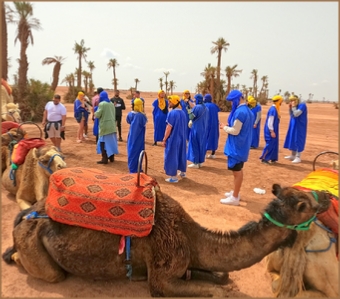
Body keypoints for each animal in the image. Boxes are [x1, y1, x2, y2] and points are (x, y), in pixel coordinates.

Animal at [1, 182, 332, 298]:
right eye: (305, 203)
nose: (327, 195)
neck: (191, 236)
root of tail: (28, 212)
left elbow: (222, 277)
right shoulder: (162, 274)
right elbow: (214, 292)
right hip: (33, 244)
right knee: (47, 272)